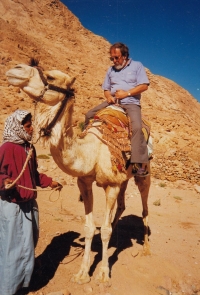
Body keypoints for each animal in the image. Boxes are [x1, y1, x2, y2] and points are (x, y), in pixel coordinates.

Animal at [5, 62, 151, 286]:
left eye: (51, 77)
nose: (15, 69)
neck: (92, 151)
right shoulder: (85, 181)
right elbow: (90, 227)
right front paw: (83, 273)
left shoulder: (112, 185)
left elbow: (105, 229)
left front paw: (103, 274)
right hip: (124, 177)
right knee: (121, 207)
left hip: (144, 172)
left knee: (144, 207)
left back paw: (145, 249)